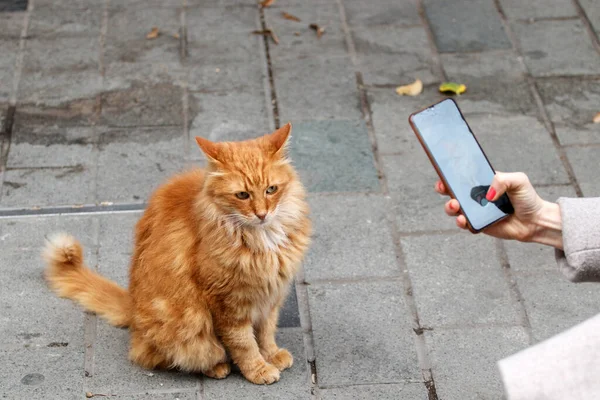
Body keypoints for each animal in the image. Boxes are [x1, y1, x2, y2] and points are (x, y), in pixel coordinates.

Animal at [43, 124, 310, 384]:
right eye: (242, 195)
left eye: (271, 190)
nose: (262, 214)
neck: (262, 238)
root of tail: (133, 308)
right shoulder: (228, 302)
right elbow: (244, 343)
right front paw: (258, 369)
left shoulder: (270, 297)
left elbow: (265, 332)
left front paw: (272, 355)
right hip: (187, 322)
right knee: (167, 355)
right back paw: (216, 367)